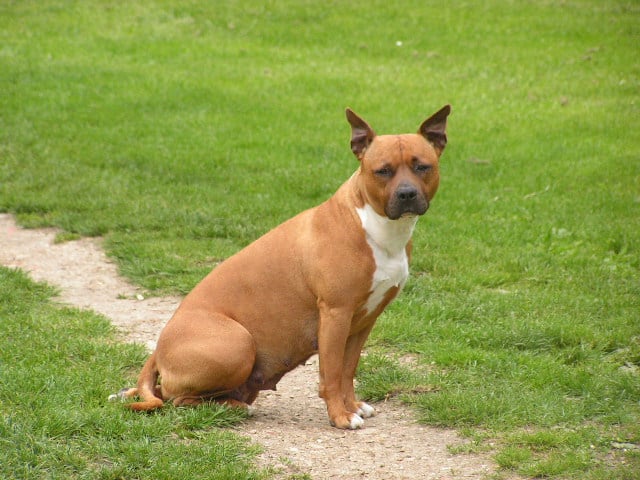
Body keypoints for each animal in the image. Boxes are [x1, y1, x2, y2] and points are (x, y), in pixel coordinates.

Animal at [115, 105, 451, 429]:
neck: (374, 225)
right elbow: (331, 374)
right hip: (237, 343)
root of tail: (158, 350)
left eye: (422, 166)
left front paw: (352, 406)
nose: (406, 194)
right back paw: (234, 407)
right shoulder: (335, 315)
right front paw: (340, 417)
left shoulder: (364, 321)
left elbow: (347, 370)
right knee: (177, 399)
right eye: (382, 171)